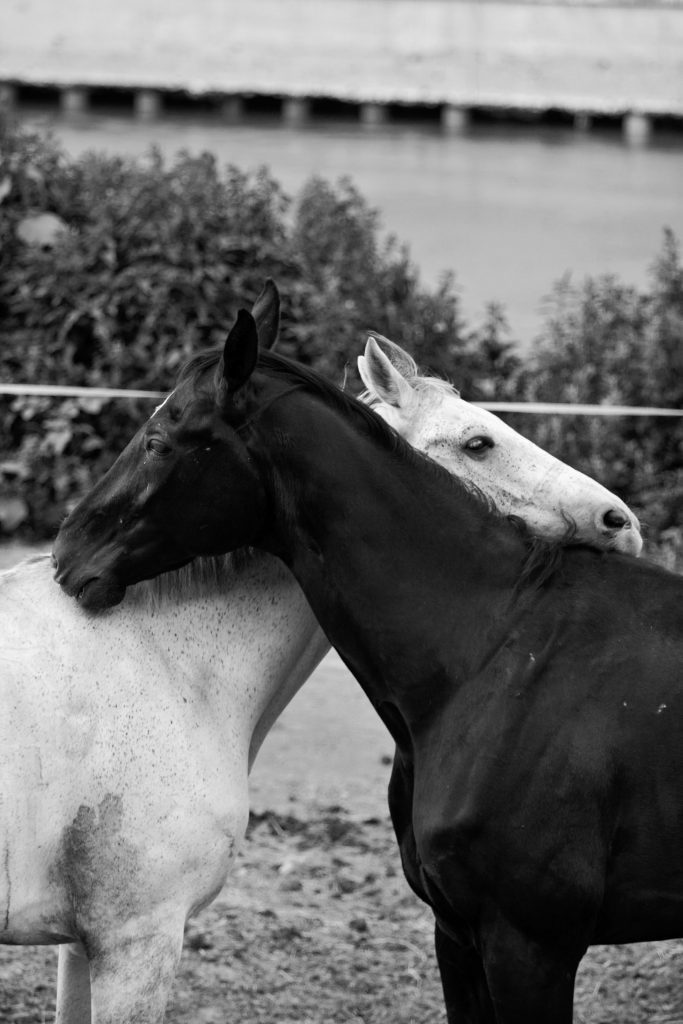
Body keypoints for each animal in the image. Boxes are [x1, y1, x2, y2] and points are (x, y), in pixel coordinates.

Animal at [53, 305, 683, 1024]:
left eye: (158, 440)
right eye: (478, 443)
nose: (68, 549)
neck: (495, 648)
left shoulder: (529, 946)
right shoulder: (462, 935)